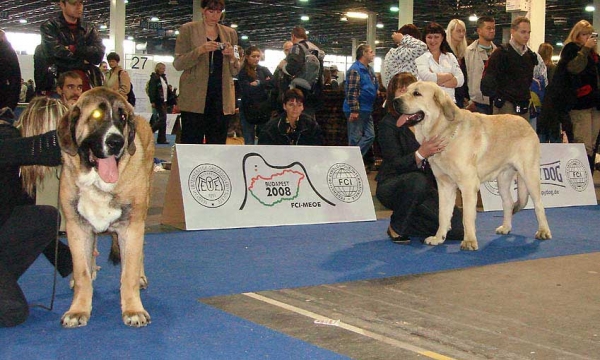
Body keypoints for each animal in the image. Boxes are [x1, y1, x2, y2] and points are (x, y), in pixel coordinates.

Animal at [394, 81, 552, 250]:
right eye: (405, 91)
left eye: (417, 93)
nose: (395, 101)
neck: (444, 131)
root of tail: (526, 123)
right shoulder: (444, 185)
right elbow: (443, 214)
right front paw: (438, 238)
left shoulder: (468, 184)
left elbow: (467, 217)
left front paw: (469, 241)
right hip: (503, 179)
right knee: (508, 203)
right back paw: (506, 227)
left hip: (529, 174)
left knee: (539, 204)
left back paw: (543, 231)